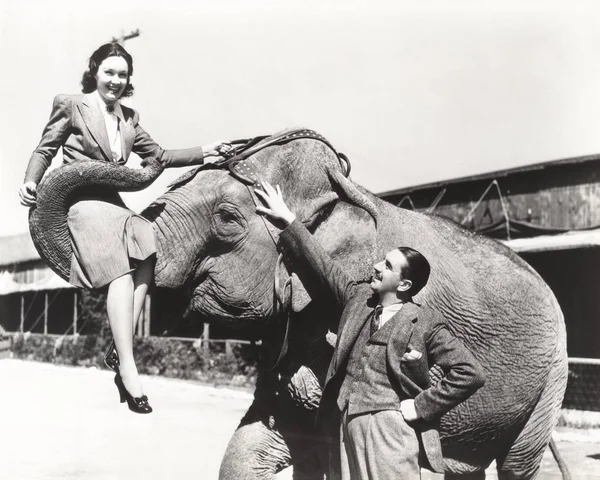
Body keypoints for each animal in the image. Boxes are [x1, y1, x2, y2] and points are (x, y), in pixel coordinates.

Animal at [30, 128, 568, 480]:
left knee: (518, 464)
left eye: (227, 218)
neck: (347, 190)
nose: (148, 158)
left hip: (552, 379)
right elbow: (250, 451)